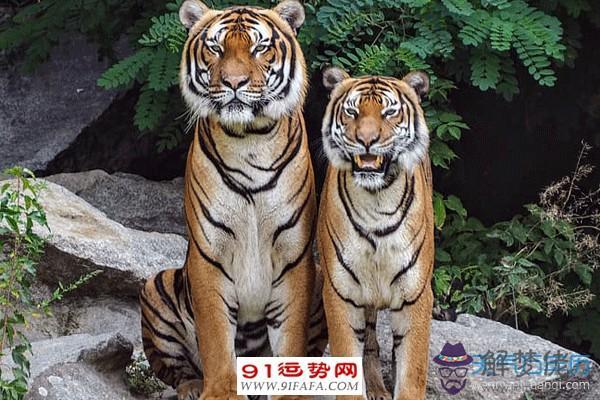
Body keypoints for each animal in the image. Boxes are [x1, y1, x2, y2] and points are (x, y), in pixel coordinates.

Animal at [139, 1, 327, 399]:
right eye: (216, 48)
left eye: (259, 48)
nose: (234, 83)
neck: (249, 139)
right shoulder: (209, 254)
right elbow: (215, 338)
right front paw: (220, 392)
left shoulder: (295, 257)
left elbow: (290, 338)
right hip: (156, 286)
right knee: (176, 369)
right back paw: (192, 386)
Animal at [317, 67, 434, 400]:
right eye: (352, 112)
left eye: (389, 112)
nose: (366, 140)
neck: (376, 201)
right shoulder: (340, 294)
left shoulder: (416, 295)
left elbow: (411, 374)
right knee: (369, 343)